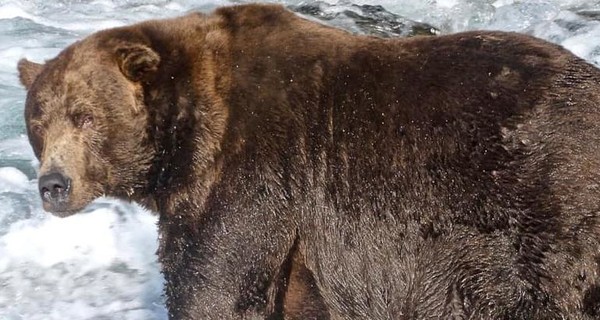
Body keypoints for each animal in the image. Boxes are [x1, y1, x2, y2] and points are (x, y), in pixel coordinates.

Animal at [15, 3, 600, 320]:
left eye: (85, 115)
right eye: (38, 119)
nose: (53, 185)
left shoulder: (255, 169)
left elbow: (216, 286)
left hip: (536, 218)